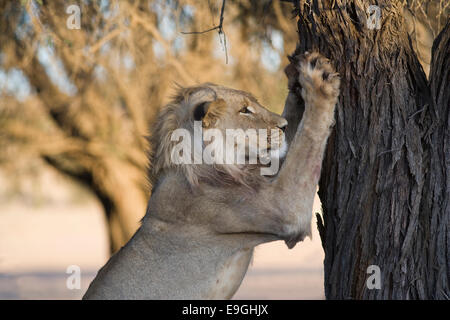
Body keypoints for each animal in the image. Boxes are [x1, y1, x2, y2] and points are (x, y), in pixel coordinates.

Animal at [82, 52, 340, 300]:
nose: (283, 126)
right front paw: (318, 82)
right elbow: (307, 137)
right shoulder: (284, 209)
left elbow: (296, 130)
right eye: (244, 110)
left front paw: (297, 76)